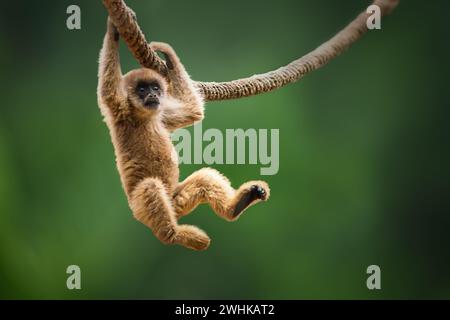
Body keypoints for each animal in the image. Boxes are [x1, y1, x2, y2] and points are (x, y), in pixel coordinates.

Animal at [96, 18, 268, 251]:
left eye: (155, 88)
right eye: (142, 89)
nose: (152, 94)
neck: (143, 117)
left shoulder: (161, 114)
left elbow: (192, 111)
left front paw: (167, 55)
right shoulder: (119, 110)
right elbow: (108, 89)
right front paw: (113, 28)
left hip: (177, 200)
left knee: (203, 179)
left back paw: (235, 207)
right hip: (141, 208)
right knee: (150, 187)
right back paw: (174, 235)